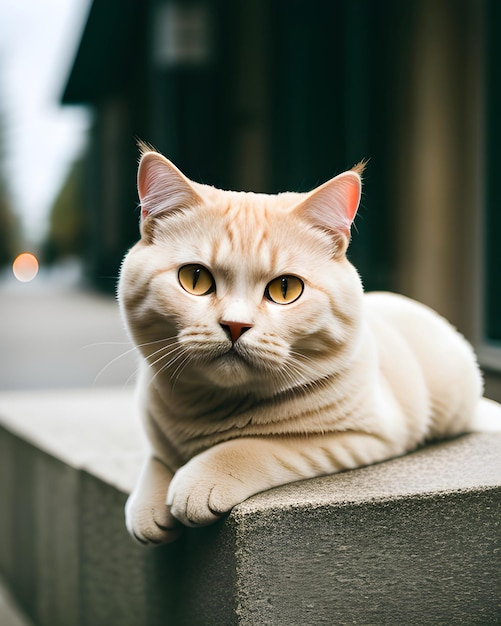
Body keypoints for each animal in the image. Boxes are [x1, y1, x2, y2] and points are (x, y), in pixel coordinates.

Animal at [119, 144, 482, 544]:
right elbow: (157, 457)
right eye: (195, 278)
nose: (235, 325)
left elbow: (255, 446)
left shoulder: (361, 437)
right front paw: (147, 506)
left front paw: (199, 479)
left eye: (285, 289)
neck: (208, 410)